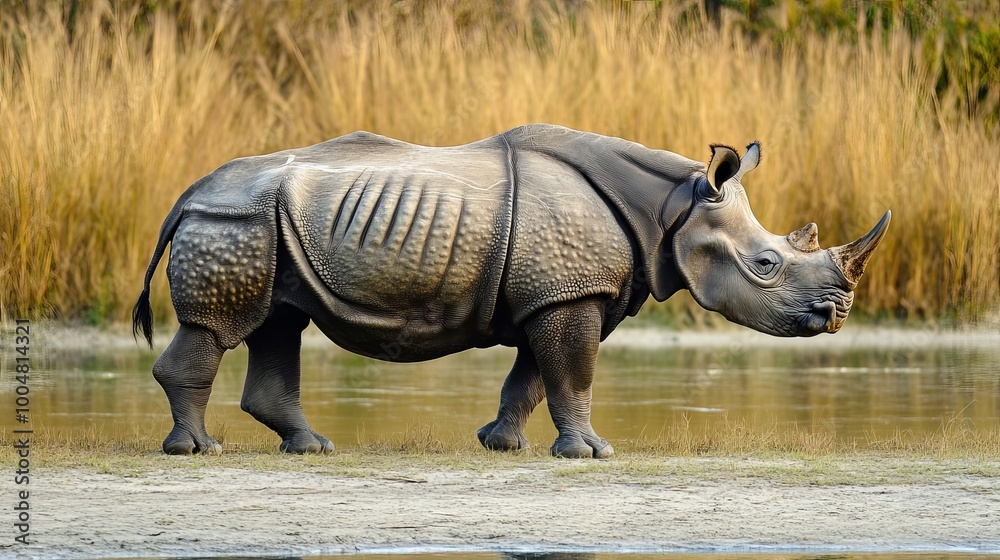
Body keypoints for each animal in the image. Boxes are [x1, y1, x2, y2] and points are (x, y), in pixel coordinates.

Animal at [132, 124, 890, 458]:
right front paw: (591, 455)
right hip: (233, 220)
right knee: (222, 328)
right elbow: (572, 375)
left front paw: (501, 444)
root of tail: (188, 193)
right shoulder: (569, 293)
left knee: (278, 323)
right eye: (766, 264)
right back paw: (198, 451)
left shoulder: (556, 292)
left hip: (261, 223)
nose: (836, 315)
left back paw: (311, 447)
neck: (672, 208)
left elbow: (532, 376)